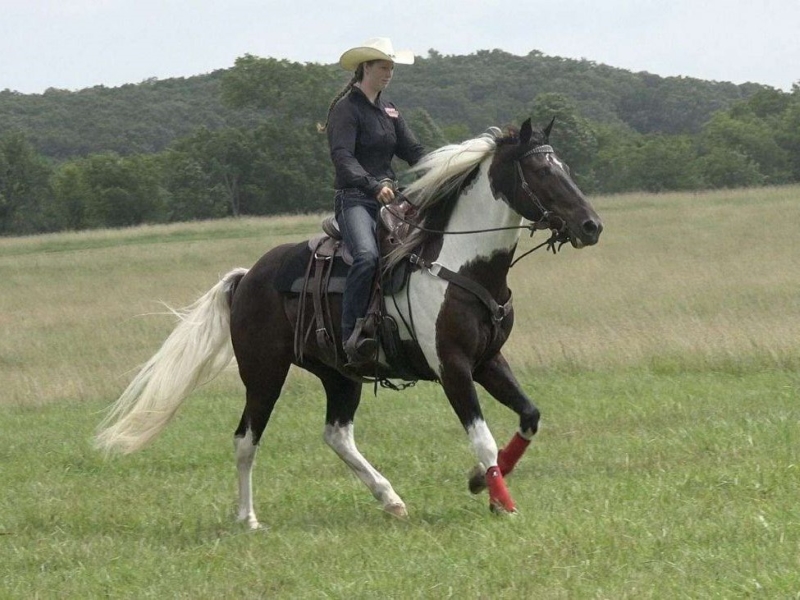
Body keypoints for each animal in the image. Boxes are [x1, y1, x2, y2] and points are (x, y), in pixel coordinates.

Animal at [95, 119, 603, 528]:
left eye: (565, 167)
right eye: (542, 171)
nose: (591, 225)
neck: (462, 265)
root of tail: (247, 278)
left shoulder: (489, 361)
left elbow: (528, 417)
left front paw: (483, 484)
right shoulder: (453, 367)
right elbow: (482, 438)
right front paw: (503, 501)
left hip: (340, 375)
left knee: (336, 435)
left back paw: (390, 499)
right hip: (263, 373)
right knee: (245, 439)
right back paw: (249, 518)